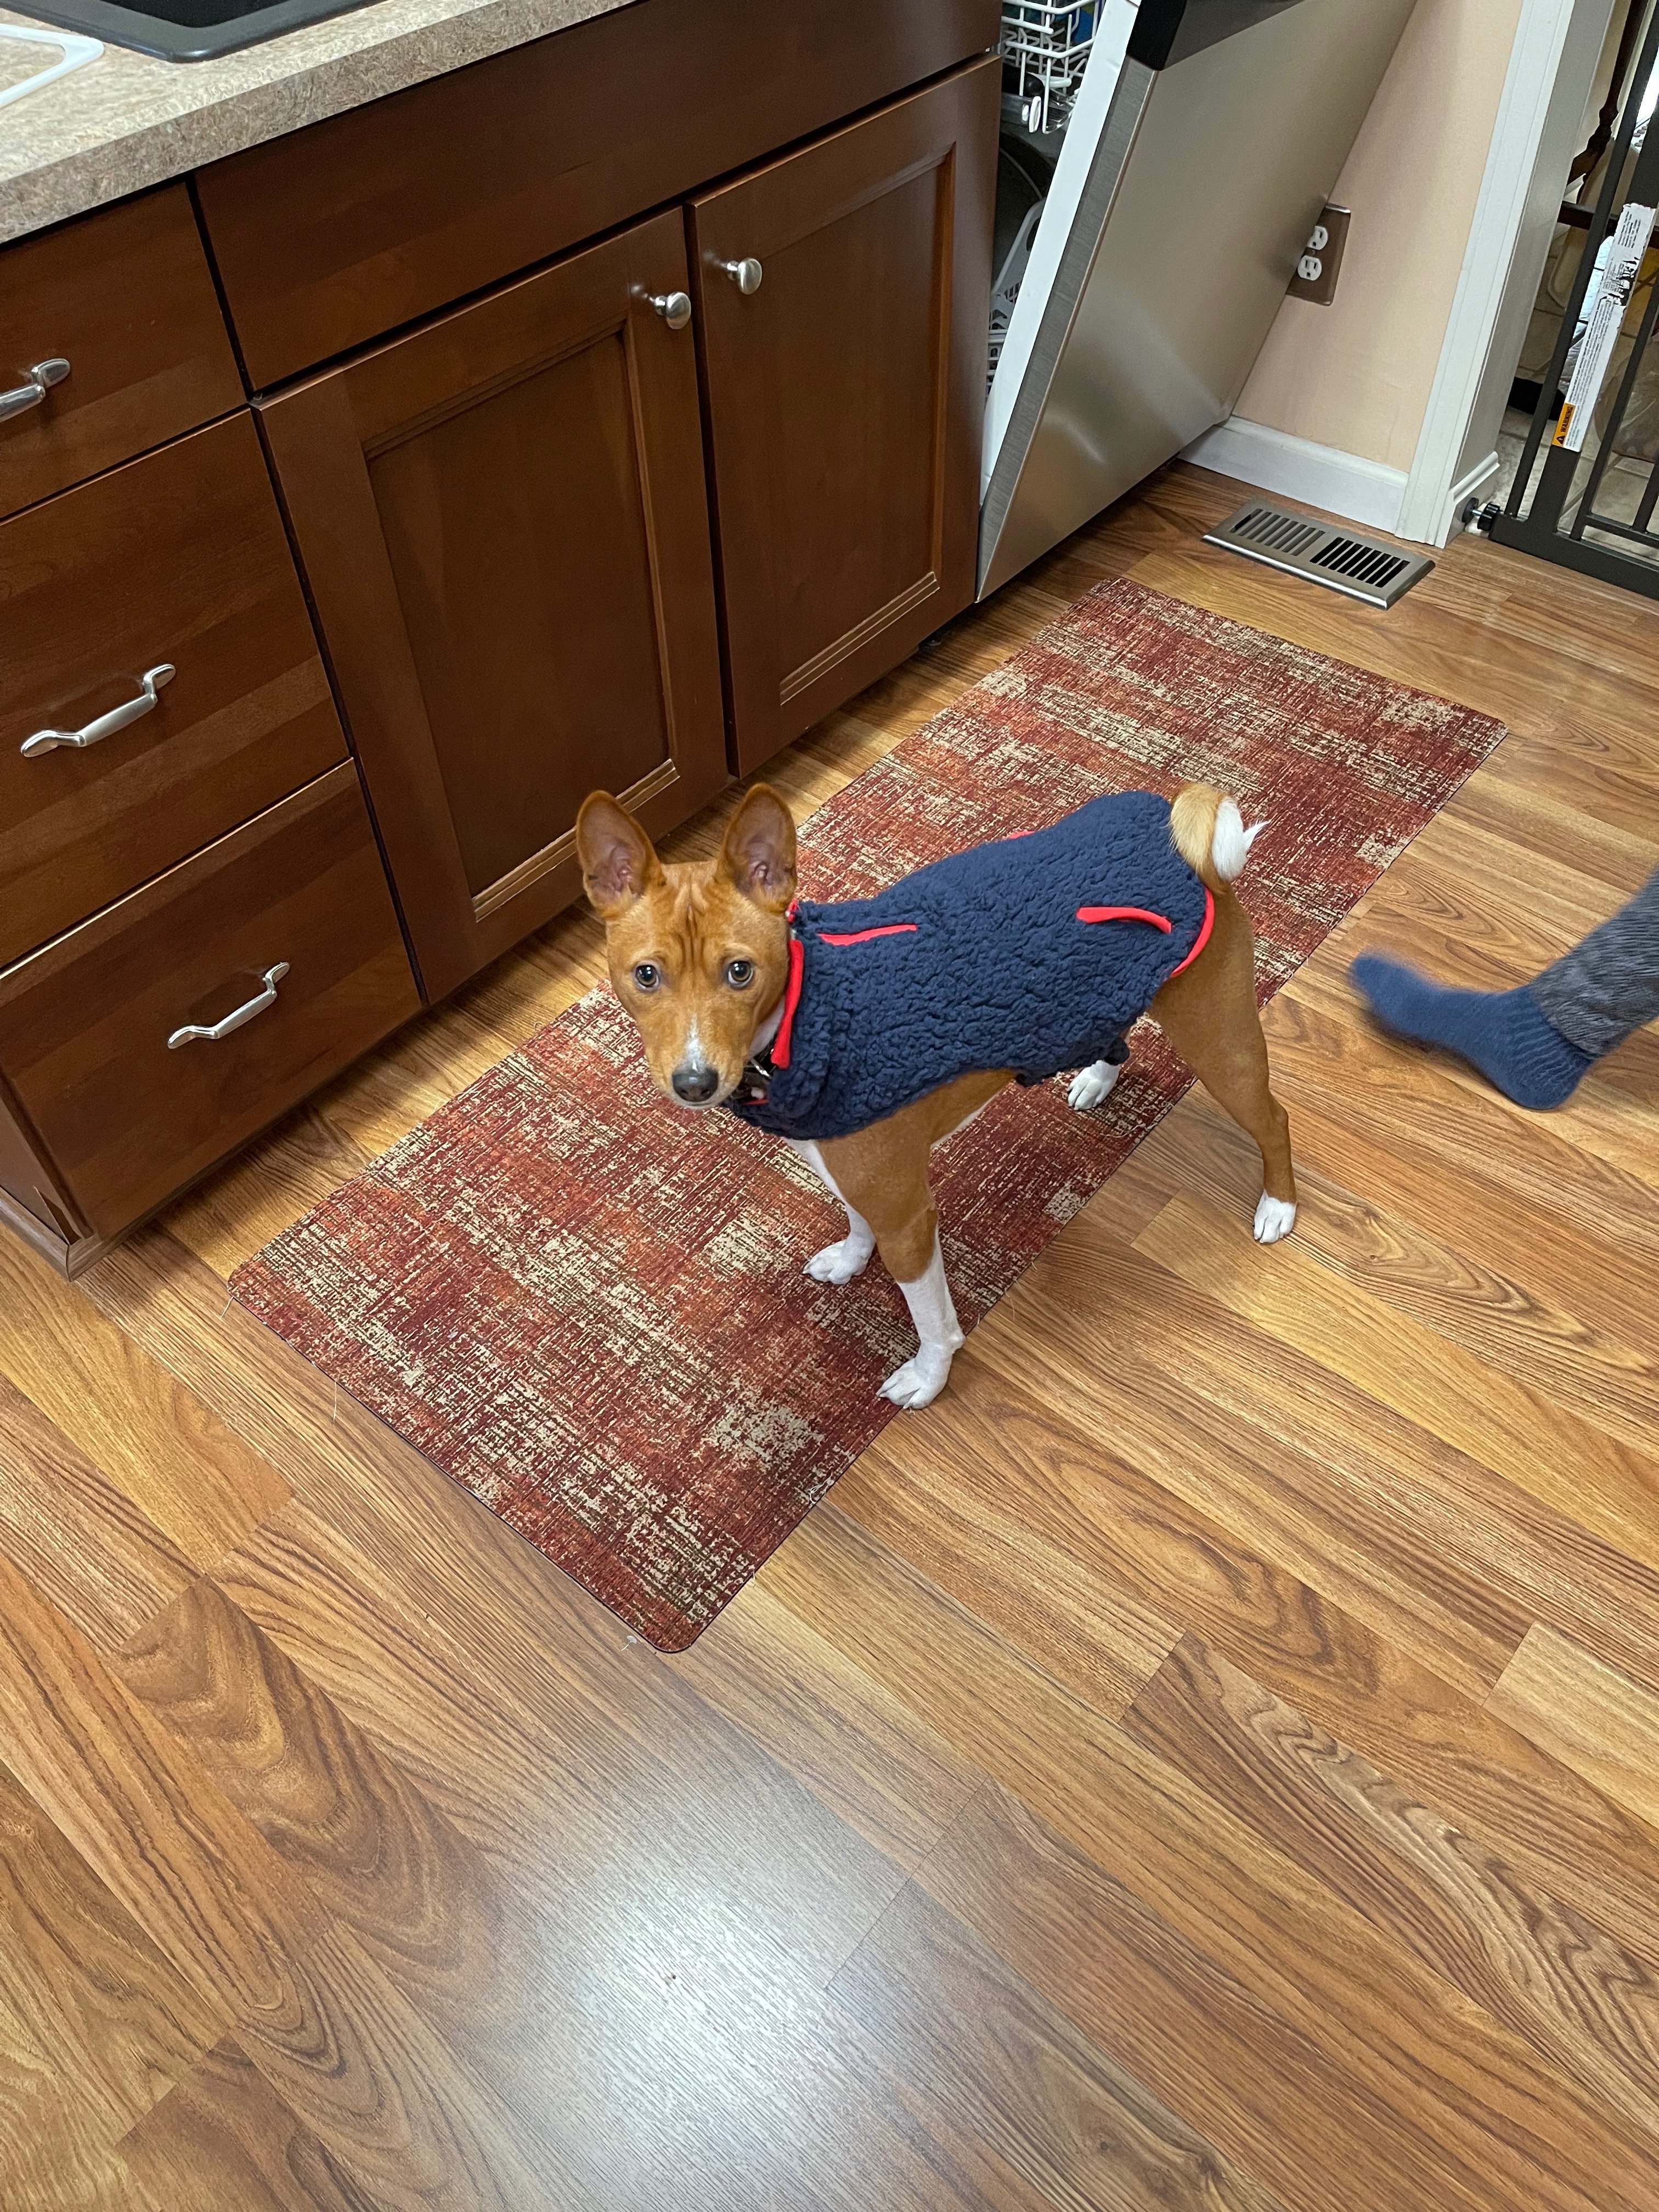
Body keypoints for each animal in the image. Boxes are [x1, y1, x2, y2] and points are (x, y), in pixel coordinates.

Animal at [575, 779, 1296, 1409]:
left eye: (739, 972)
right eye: (647, 975)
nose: (694, 1082)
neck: (811, 1012)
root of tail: (1168, 831)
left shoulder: (909, 1217)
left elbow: (933, 1321)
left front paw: (929, 1376)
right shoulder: (848, 1160)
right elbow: (855, 1218)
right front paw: (850, 1259)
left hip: (1220, 1043)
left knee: (1275, 1121)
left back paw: (1277, 1206)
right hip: (1097, 998)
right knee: (1117, 1037)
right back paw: (1097, 1076)